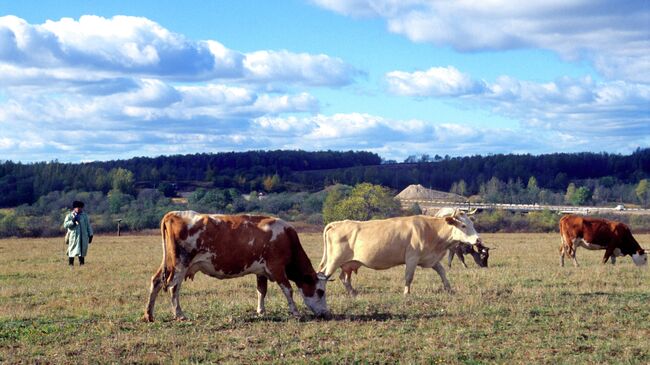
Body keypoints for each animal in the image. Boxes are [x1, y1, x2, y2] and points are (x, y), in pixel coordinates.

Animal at [144, 210, 332, 322]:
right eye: (320, 291)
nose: (325, 314)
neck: (287, 237)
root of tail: (173, 214)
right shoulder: (277, 267)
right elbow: (288, 290)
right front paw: (296, 312)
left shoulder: (261, 271)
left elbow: (261, 291)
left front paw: (261, 311)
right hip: (180, 264)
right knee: (173, 287)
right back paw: (179, 314)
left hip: (169, 263)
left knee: (156, 281)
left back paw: (149, 315)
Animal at [316, 208, 478, 296]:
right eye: (463, 225)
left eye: (471, 223)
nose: (477, 239)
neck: (431, 230)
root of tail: (338, 223)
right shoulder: (412, 258)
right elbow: (409, 277)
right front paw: (406, 293)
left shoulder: (430, 259)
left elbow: (442, 272)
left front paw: (449, 289)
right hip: (334, 260)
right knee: (322, 275)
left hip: (348, 263)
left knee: (344, 278)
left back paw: (353, 293)